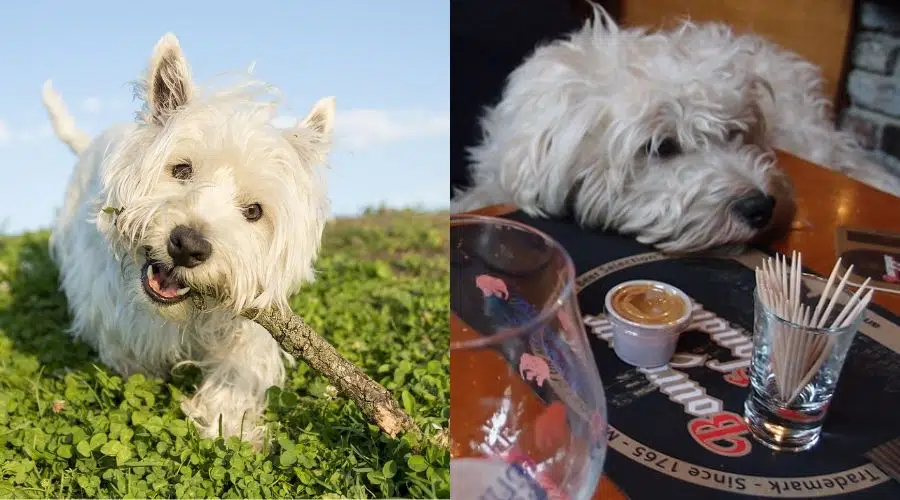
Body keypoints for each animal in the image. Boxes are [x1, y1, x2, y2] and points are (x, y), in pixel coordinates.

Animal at [44, 32, 336, 446]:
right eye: (181, 169)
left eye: (254, 211)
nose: (188, 246)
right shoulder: (111, 312)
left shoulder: (251, 322)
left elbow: (237, 371)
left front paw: (229, 427)